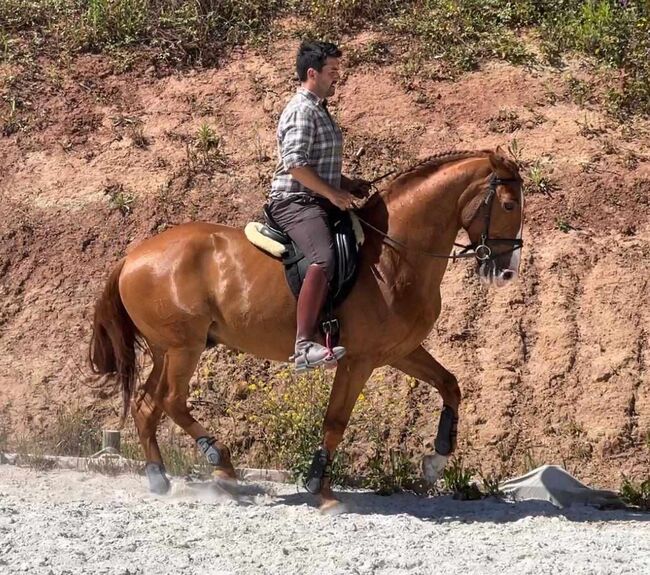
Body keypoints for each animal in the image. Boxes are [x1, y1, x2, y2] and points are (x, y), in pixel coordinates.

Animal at [88, 148, 520, 508]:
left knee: (147, 404)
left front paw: (436, 461)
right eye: (509, 204)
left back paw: (159, 478)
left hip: (167, 349)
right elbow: (335, 421)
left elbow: (450, 384)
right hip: (184, 348)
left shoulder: (400, 351)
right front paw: (321, 490)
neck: (393, 255)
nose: (507, 272)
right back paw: (221, 463)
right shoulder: (359, 360)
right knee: (171, 400)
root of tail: (131, 257)